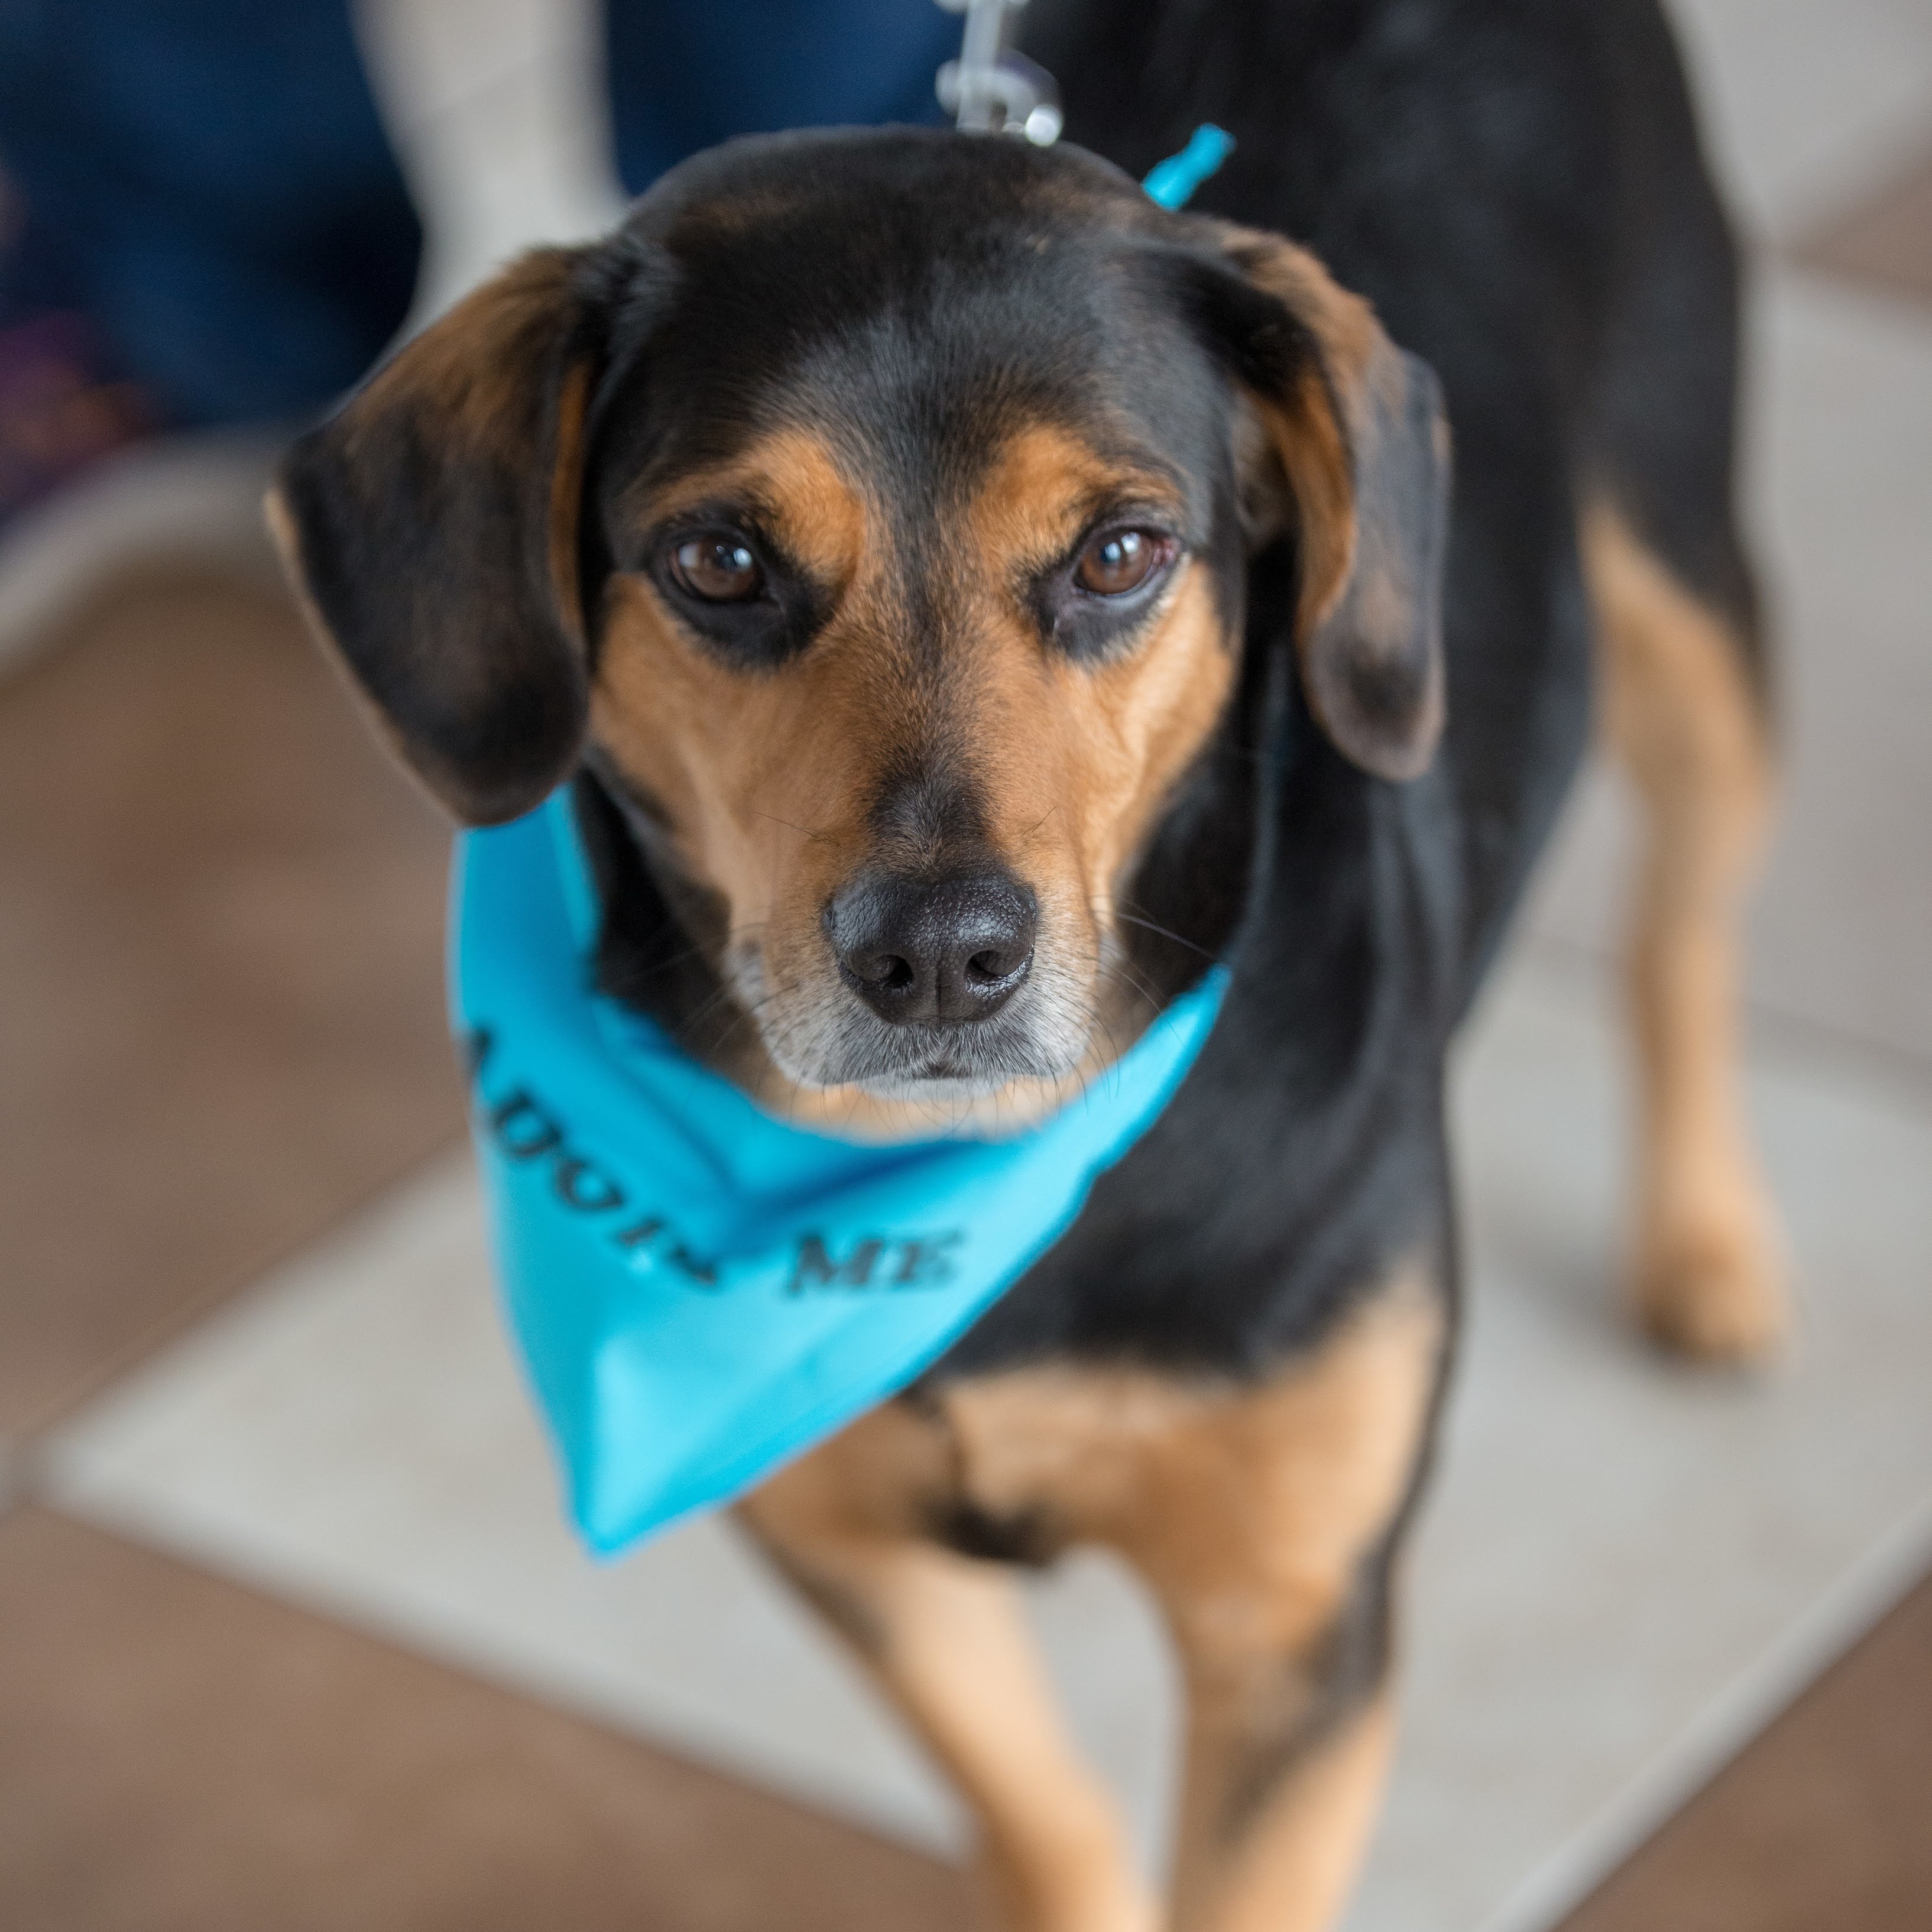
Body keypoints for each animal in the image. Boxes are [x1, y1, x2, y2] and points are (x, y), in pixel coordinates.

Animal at [268, 7, 1777, 1924]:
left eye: (1120, 551)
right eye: (719, 560)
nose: (936, 956)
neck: (952, 1180)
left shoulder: (1291, 1619)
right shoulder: (859, 1556)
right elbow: (1040, 1812)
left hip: (1686, 585)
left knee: (1681, 924)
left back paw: (1706, 1243)